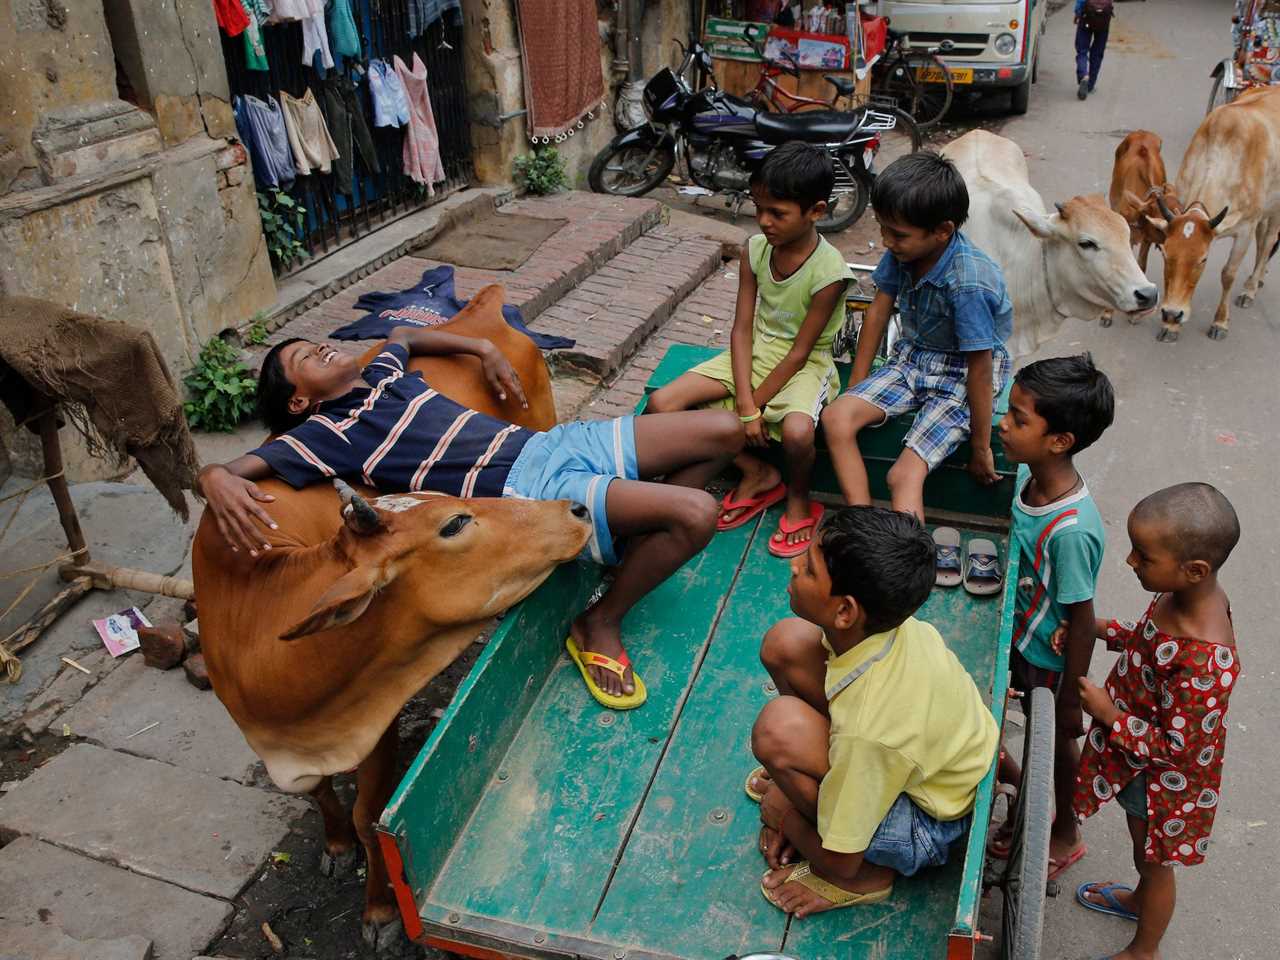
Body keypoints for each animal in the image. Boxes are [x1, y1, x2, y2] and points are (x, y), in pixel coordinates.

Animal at [1141, 85, 1280, 343]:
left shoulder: (1244, 229)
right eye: (1165, 254)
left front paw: (1220, 322)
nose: (1171, 313)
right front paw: (1171, 327)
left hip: (1276, 207)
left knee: (1268, 241)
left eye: (1203, 260)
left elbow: (1228, 274)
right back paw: (1257, 279)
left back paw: (1250, 288)